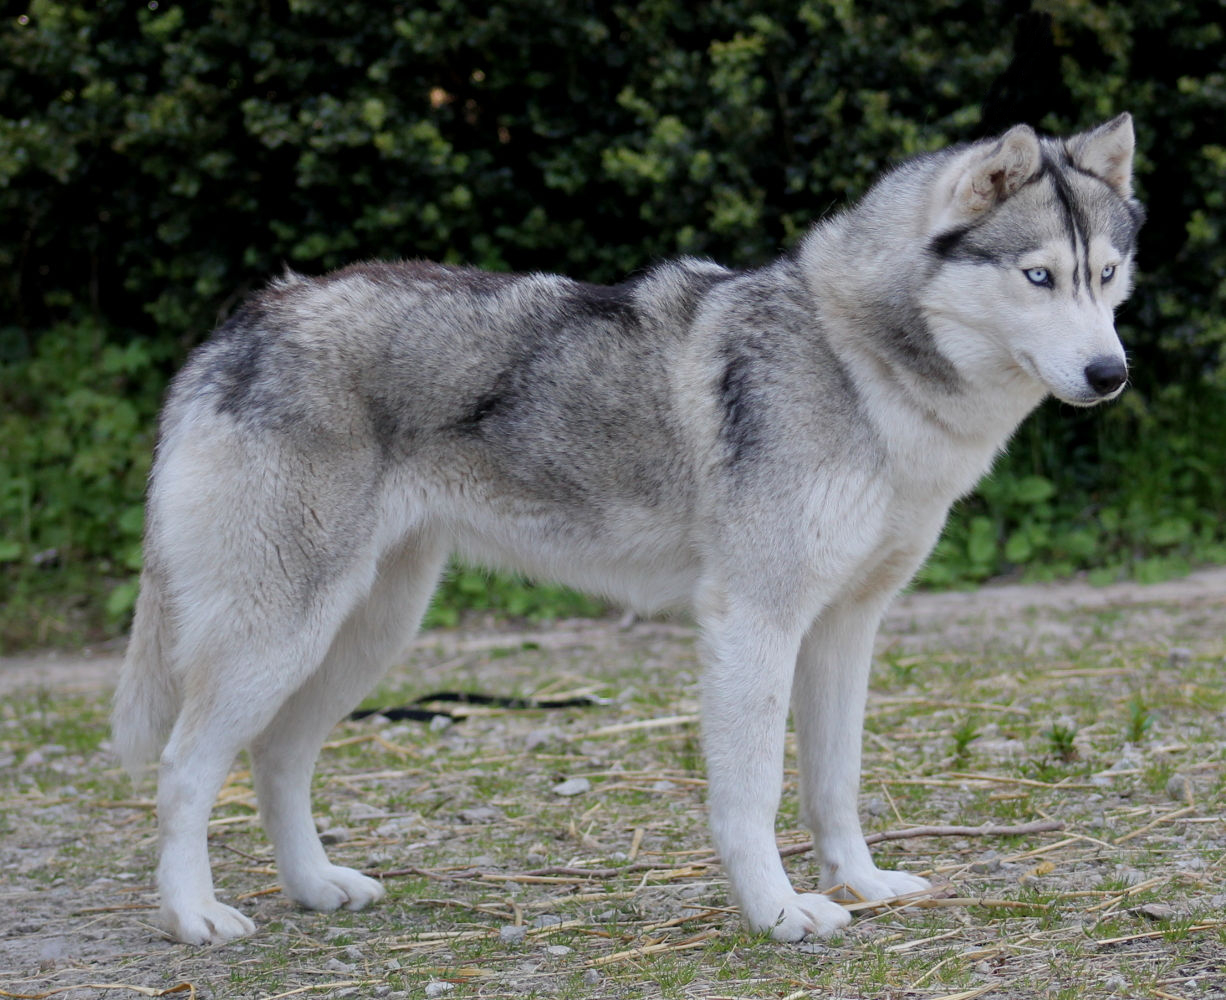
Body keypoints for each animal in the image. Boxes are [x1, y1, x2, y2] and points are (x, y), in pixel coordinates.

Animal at [112, 114, 1142, 945]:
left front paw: (860, 883)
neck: (859, 363)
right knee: (183, 771)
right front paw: (780, 915)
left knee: (276, 758)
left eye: (1106, 277)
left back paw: (316, 887)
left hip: (365, 635)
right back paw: (195, 917)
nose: (1111, 375)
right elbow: (754, 793)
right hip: (280, 637)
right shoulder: (753, 622)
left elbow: (835, 783)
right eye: (1038, 276)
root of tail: (246, 321)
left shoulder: (846, 629)